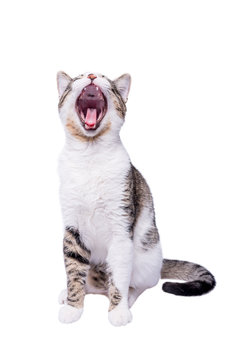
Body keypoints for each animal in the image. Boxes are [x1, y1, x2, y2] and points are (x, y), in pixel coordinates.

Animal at [56, 70, 216, 326]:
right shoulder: (72, 229)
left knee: (143, 283)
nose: (91, 75)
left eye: (104, 77)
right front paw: (73, 306)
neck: (90, 156)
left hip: (145, 261)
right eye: (79, 76)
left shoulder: (121, 228)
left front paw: (118, 310)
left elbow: (119, 278)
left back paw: (129, 298)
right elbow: (73, 270)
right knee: (94, 282)